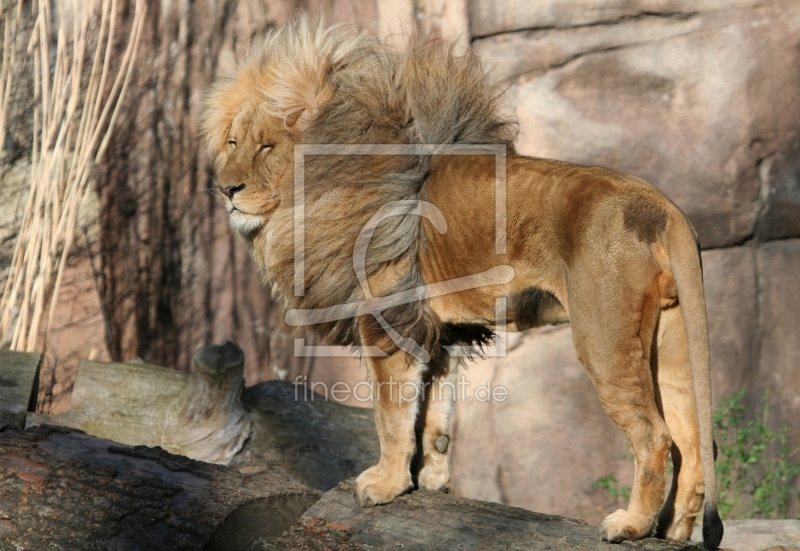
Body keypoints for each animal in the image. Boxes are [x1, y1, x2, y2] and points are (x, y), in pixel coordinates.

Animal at [200, 14, 724, 551]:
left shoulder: (389, 318)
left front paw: (384, 486)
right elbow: (434, 412)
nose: (227, 188)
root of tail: (663, 209)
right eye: (234, 143)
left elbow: (391, 415)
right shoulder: (440, 329)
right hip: (672, 342)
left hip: (604, 337)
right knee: (695, 440)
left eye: (267, 146)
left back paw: (631, 525)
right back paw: (675, 529)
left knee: (654, 436)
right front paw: (430, 481)